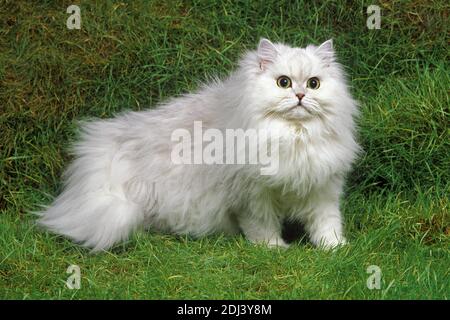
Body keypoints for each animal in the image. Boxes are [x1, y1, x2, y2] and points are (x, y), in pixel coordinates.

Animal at [39, 38, 362, 252]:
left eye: (314, 84)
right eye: (283, 82)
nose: (300, 96)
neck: (295, 136)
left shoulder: (323, 190)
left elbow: (327, 224)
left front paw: (336, 249)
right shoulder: (252, 197)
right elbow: (262, 226)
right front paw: (273, 248)